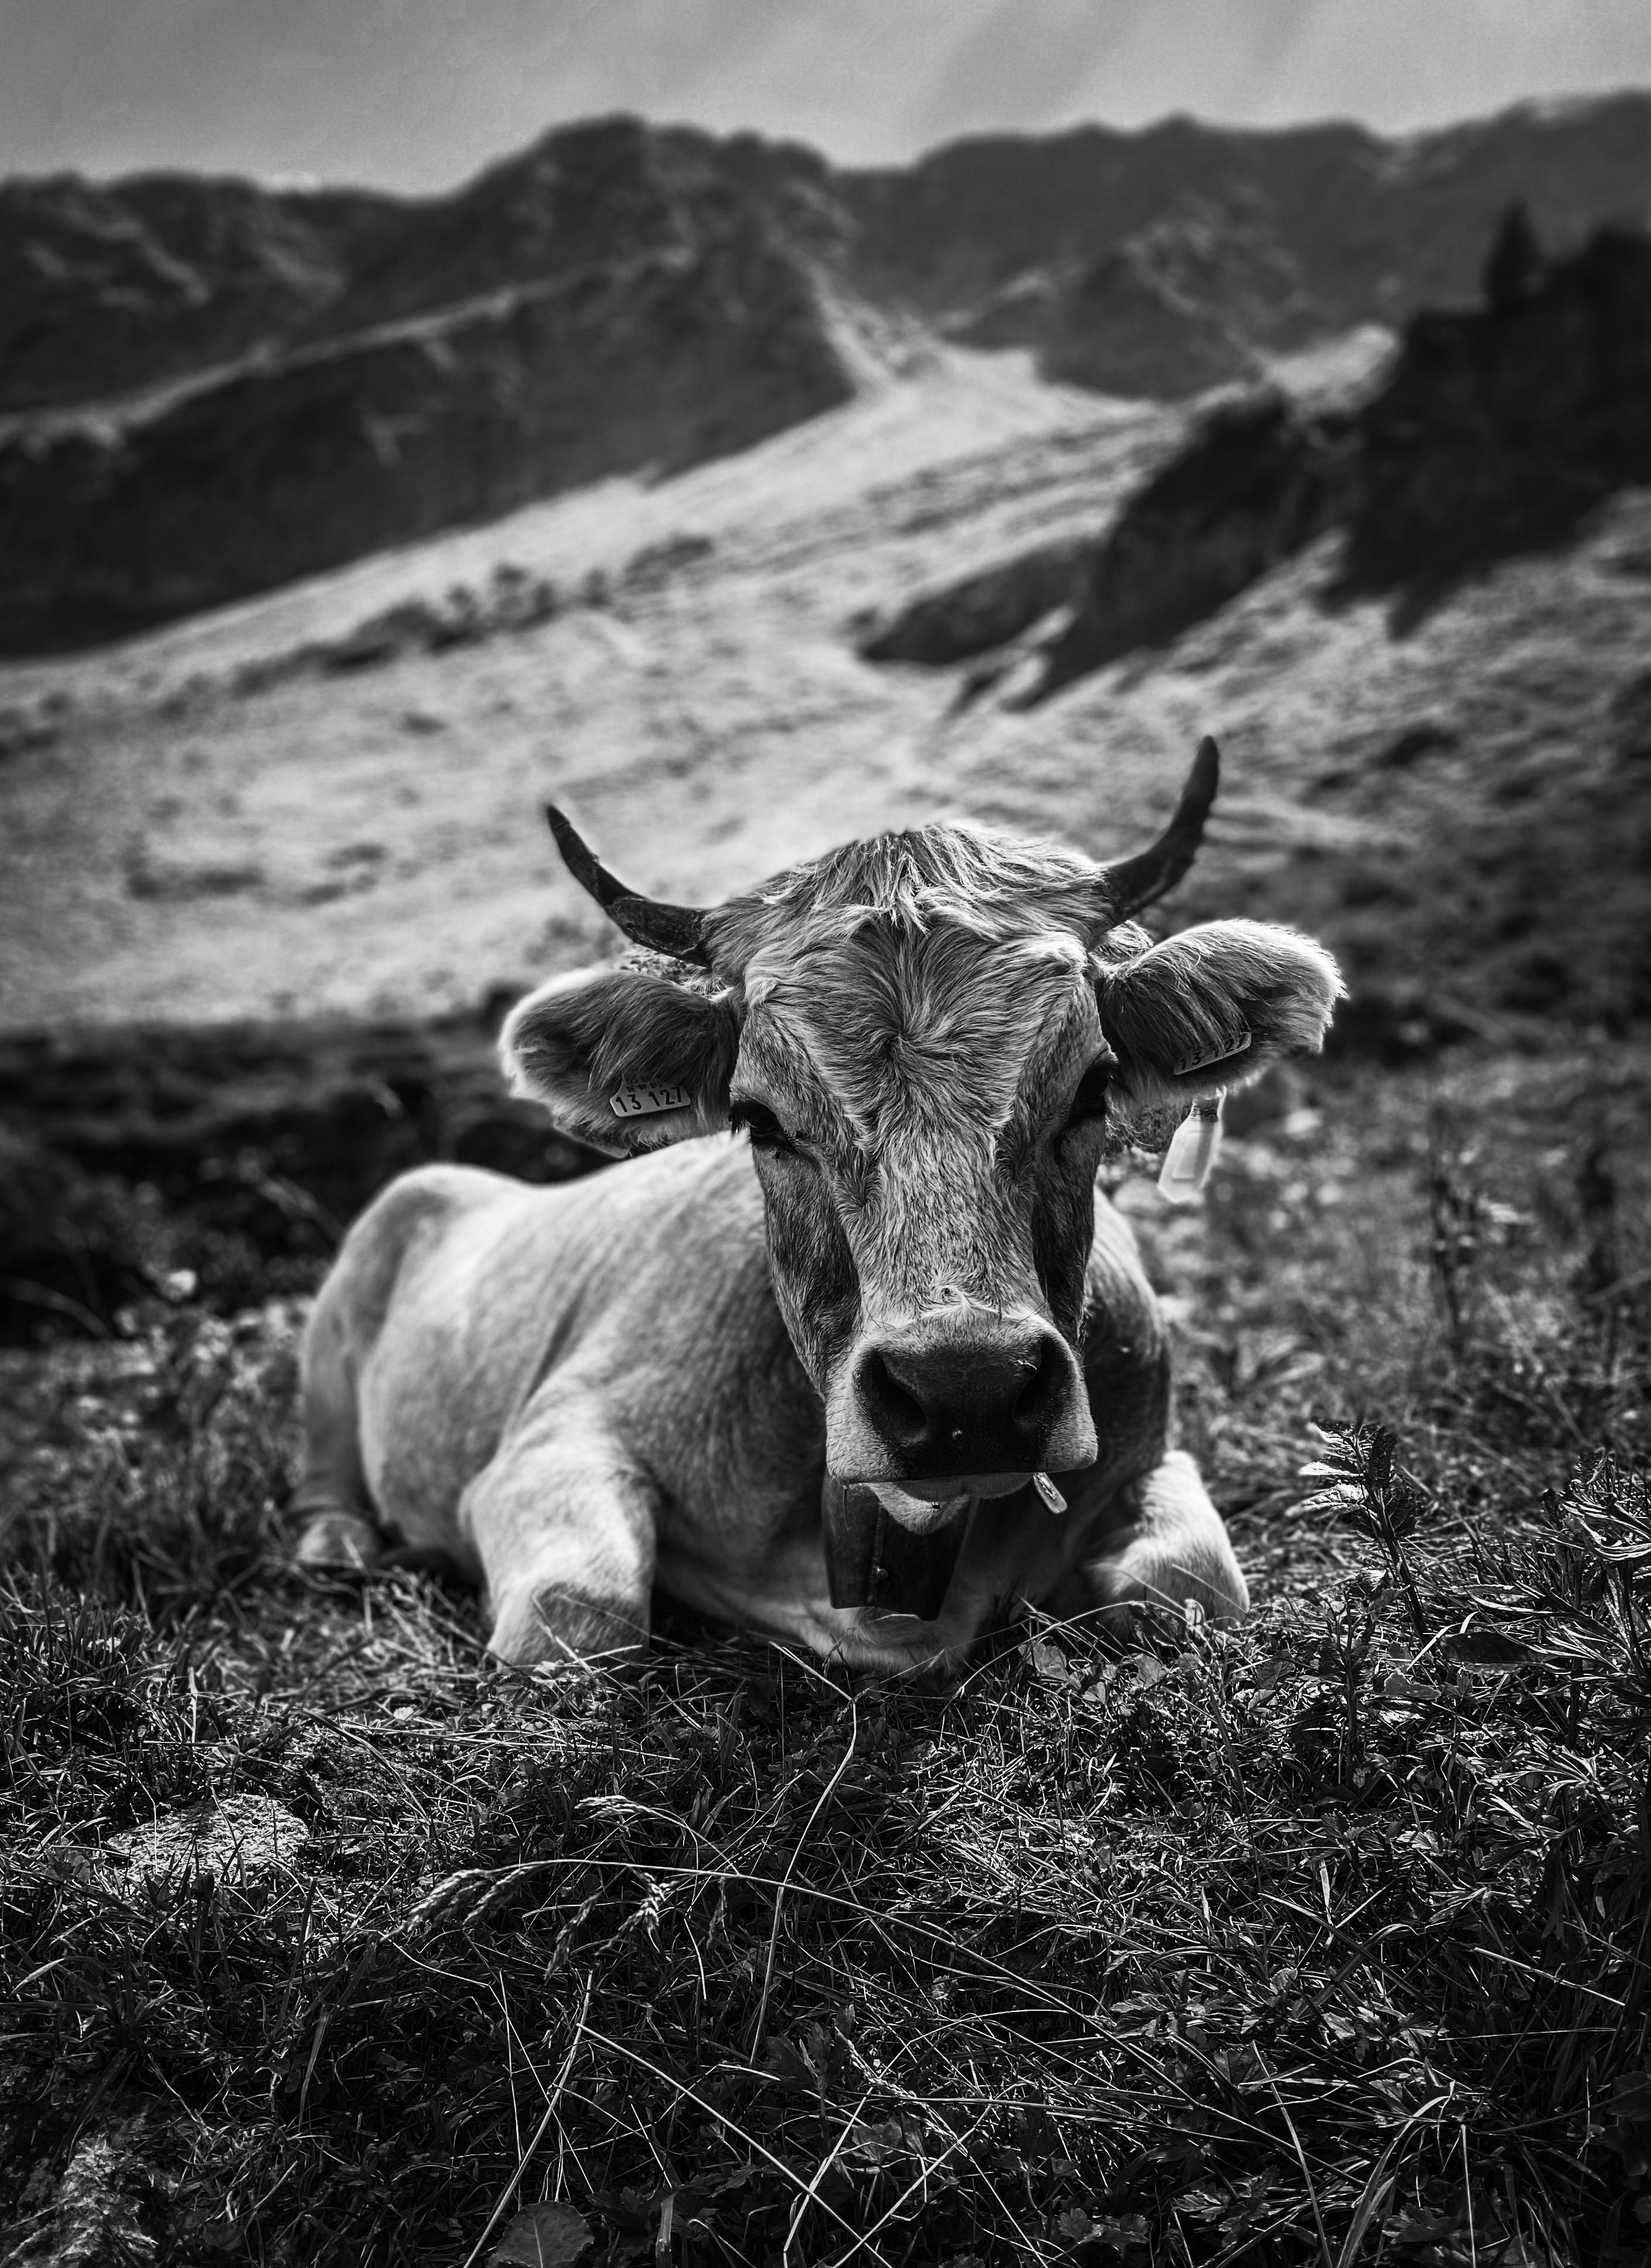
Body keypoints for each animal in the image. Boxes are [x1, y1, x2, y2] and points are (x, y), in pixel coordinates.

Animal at [293, 738, 1342, 1670]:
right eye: (759, 1119)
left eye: (1091, 1089)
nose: (966, 1388)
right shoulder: (549, 1441)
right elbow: (580, 1611)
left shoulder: (1153, 1452)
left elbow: (1190, 1583)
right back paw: (340, 1547)